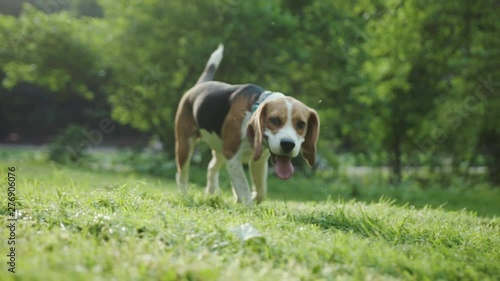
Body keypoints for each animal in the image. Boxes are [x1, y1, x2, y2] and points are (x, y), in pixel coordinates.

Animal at [175, 43, 320, 203]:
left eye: (301, 124)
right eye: (274, 120)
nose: (288, 144)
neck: (254, 106)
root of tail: (199, 86)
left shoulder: (259, 160)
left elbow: (261, 192)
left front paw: (252, 197)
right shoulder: (233, 157)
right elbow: (243, 188)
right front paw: (247, 203)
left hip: (221, 149)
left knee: (211, 167)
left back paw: (213, 192)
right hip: (185, 145)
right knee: (181, 174)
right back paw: (184, 195)